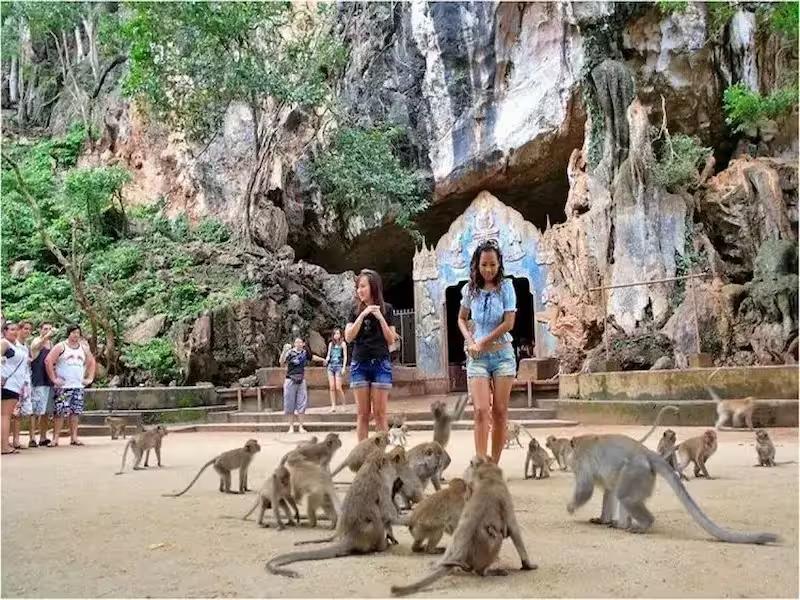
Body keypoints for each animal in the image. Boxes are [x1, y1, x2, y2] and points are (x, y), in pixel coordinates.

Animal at [266, 451, 409, 578]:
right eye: (390, 460)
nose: (395, 463)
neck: (372, 467)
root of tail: (350, 538)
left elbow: (388, 519)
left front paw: (392, 534)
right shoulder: (383, 487)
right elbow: (388, 516)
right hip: (371, 533)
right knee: (377, 520)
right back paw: (382, 546)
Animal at [389, 456, 536, 597]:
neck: (489, 480)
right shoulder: (504, 497)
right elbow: (514, 530)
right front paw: (528, 565)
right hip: (429, 528)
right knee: (495, 537)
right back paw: (485, 571)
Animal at [565, 434, 778, 544]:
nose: (567, 464)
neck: (579, 444)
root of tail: (647, 453)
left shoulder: (581, 461)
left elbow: (586, 489)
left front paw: (570, 507)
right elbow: (608, 491)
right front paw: (603, 519)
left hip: (636, 472)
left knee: (626, 497)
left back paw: (643, 524)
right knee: (620, 493)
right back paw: (622, 524)